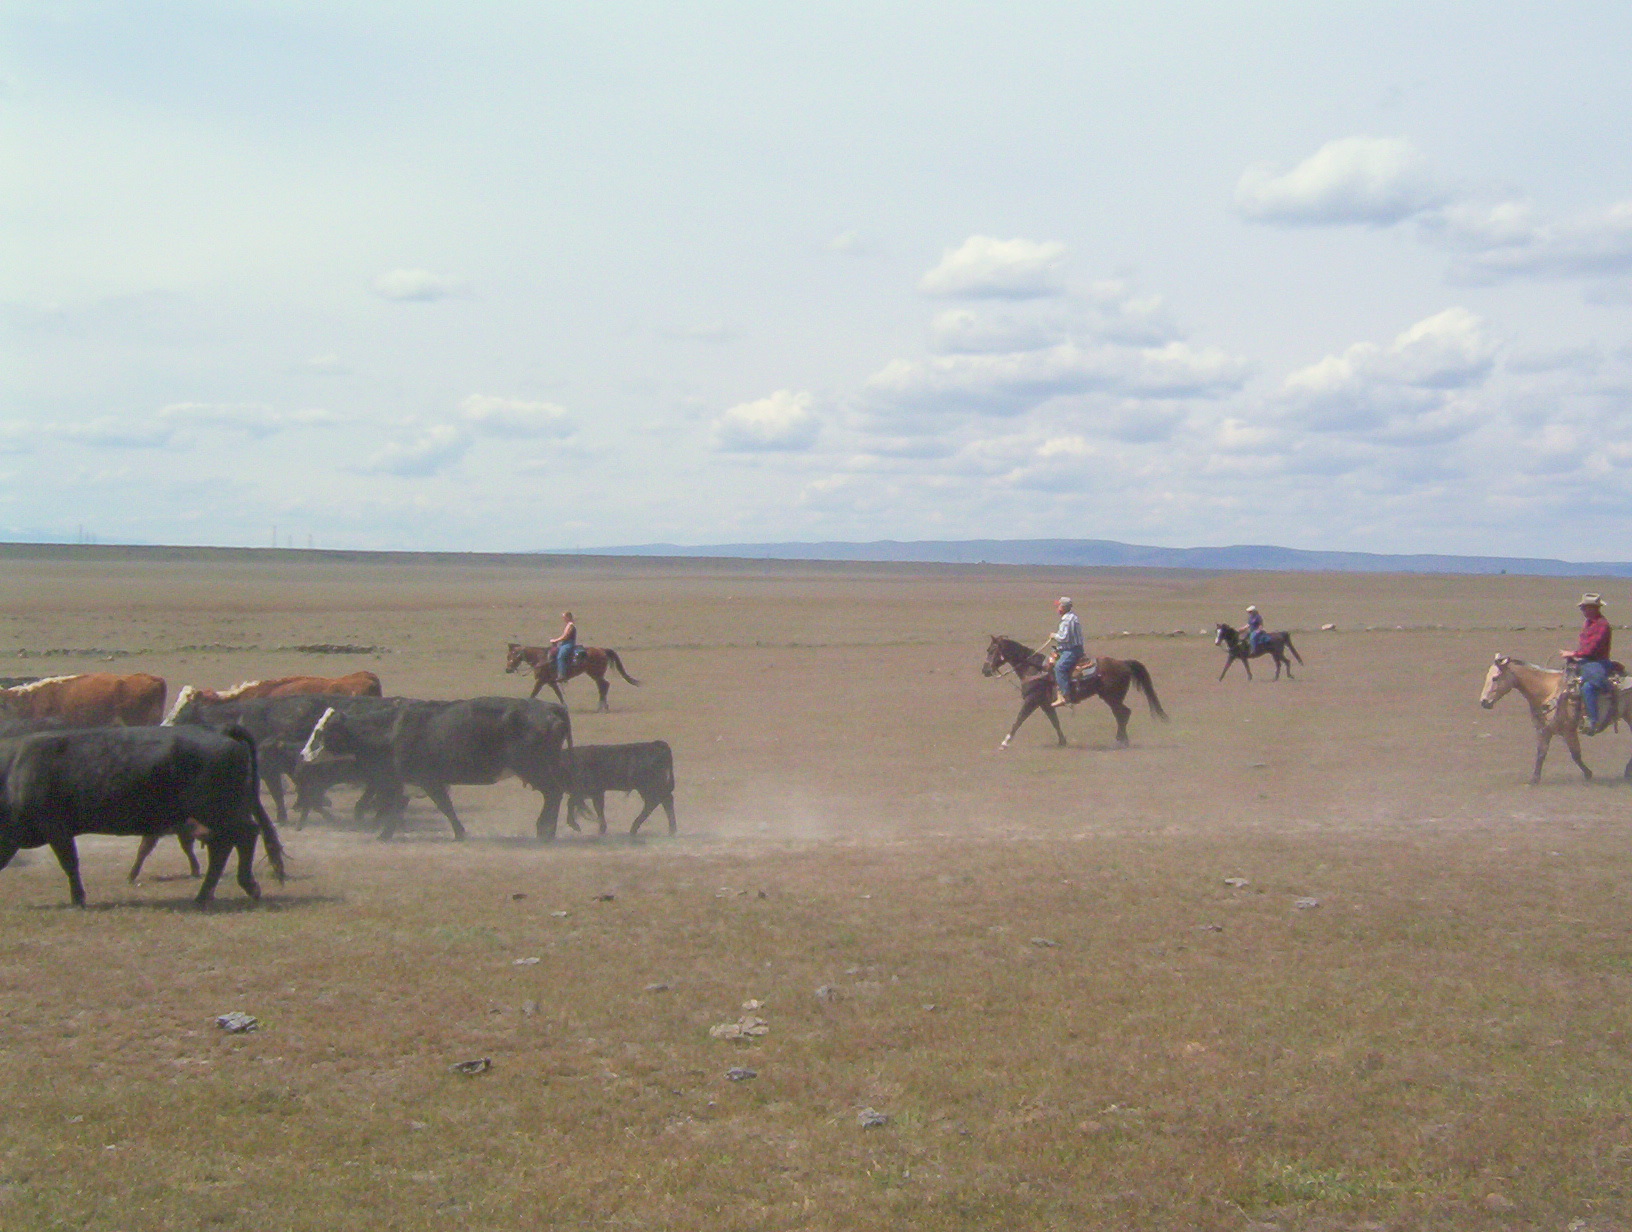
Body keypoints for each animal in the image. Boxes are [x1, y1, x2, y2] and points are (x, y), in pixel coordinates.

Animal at [0, 725, 286, 907]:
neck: (13, 770)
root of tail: (222, 733)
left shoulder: (56, 829)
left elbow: (70, 863)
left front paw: (79, 899)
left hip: (218, 812)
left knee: (244, 836)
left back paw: (245, 886)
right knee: (225, 846)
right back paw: (205, 895)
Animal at [299, 696, 572, 841]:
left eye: (321, 733)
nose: (303, 755)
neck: (391, 730)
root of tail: (550, 708)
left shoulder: (428, 781)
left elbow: (444, 806)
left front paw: (460, 833)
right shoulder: (406, 782)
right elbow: (395, 808)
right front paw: (385, 834)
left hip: (535, 769)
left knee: (554, 793)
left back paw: (545, 831)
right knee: (555, 794)